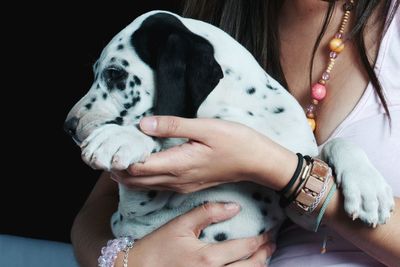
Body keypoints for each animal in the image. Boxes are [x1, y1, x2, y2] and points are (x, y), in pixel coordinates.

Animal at [65, 10, 394, 243]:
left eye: (115, 74)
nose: (68, 125)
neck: (241, 111)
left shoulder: (299, 203)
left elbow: (336, 146)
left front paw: (368, 187)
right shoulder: (131, 219)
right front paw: (123, 136)